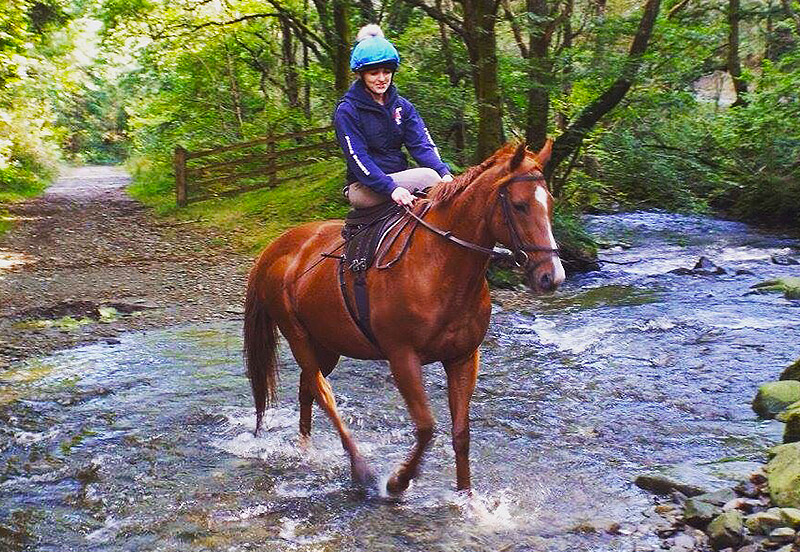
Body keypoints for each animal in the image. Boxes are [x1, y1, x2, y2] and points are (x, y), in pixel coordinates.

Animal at [242, 140, 564, 494]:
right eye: (520, 206)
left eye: (549, 203)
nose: (552, 277)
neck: (438, 264)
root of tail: (275, 247)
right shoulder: (402, 357)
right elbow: (426, 426)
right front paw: (397, 482)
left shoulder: (464, 357)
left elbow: (461, 434)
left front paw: (466, 497)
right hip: (298, 336)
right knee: (322, 391)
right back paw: (360, 469)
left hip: (326, 343)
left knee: (307, 389)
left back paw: (306, 449)